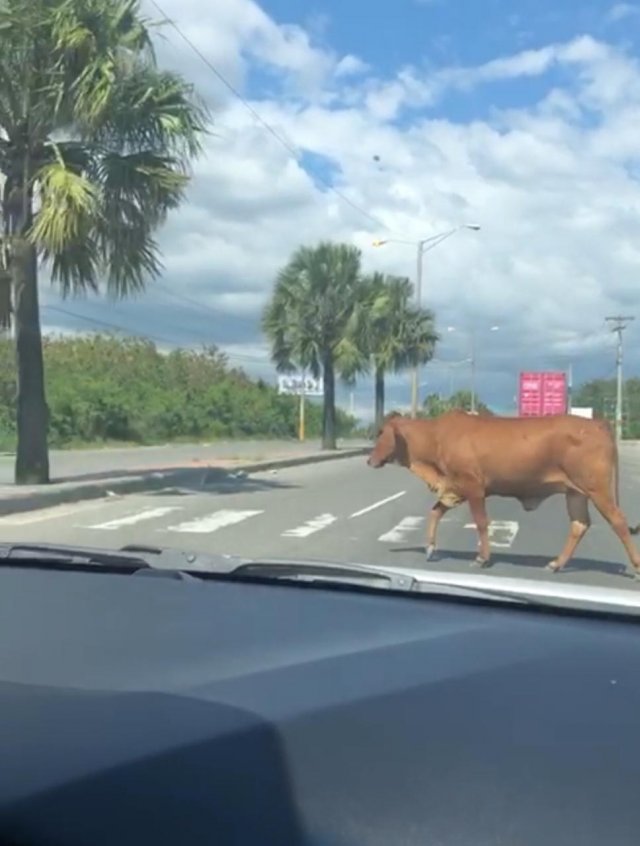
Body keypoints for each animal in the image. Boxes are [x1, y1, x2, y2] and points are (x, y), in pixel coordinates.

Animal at [364, 410, 640, 576]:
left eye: (381, 433)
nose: (369, 460)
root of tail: (597, 423)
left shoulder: (473, 487)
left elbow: (481, 522)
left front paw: (482, 558)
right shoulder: (455, 488)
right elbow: (435, 512)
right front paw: (430, 548)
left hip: (597, 489)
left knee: (618, 521)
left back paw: (636, 566)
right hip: (575, 493)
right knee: (579, 524)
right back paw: (556, 563)